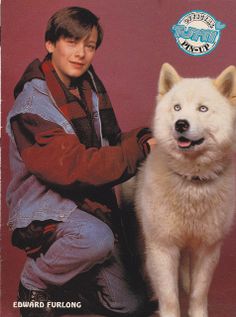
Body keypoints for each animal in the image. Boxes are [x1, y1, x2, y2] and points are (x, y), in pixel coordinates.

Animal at [131, 63, 236, 316]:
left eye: (203, 109)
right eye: (177, 107)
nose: (181, 123)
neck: (192, 181)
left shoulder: (208, 248)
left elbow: (199, 293)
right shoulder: (162, 247)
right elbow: (169, 297)